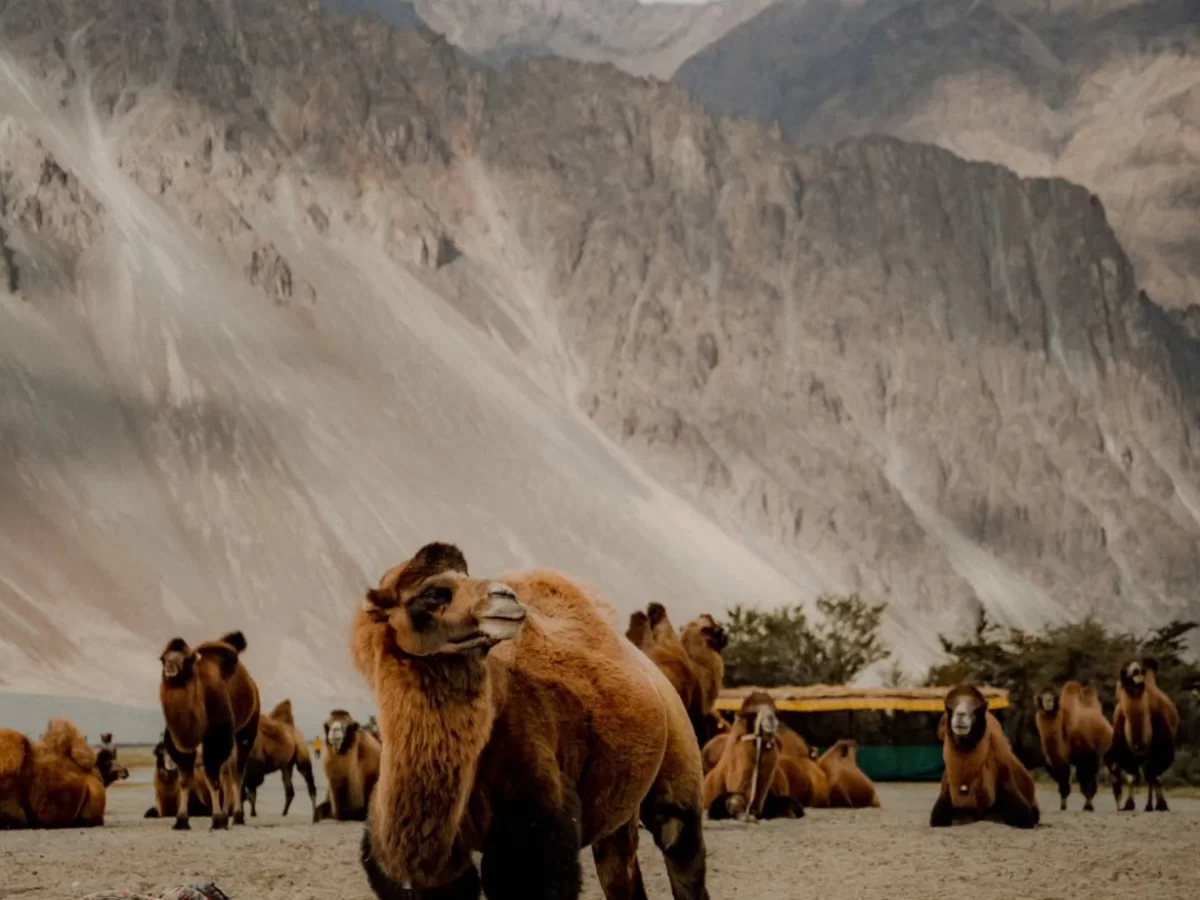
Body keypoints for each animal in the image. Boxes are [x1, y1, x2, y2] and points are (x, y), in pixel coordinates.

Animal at [158, 630, 261, 830]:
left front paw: (217, 820)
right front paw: (181, 820)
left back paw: (237, 816)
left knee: (237, 773)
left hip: (245, 731)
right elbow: (185, 779)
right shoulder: (179, 743)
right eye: (163, 658)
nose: (170, 666)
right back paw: (228, 815)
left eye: (187, 659)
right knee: (227, 772)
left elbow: (212, 778)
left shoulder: (216, 738)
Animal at [353, 542, 710, 900]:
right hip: (620, 809)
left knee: (680, 845)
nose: (505, 597)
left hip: (679, 769)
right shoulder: (435, 876)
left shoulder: (535, 840)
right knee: (619, 867)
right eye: (432, 592)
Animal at [1034, 681, 1113, 811]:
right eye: (1041, 697)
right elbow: (1063, 780)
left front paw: (1088, 806)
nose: (1048, 701)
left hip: (1102, 752)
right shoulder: (1056, 762)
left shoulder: (1086, 756)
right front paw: (1063, 806)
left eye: (1054, 696)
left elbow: (1086, 782)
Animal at [1105, 658, 1180, 812]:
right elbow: (1132, 776)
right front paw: (1129, 804)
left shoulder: (1163, 749)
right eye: (1124, 671)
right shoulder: (1124, 751)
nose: (1135, 672)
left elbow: (1154, 775)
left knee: (1151, 774)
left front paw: (1161, 804)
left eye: (1141, 671)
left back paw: (1151, 805)